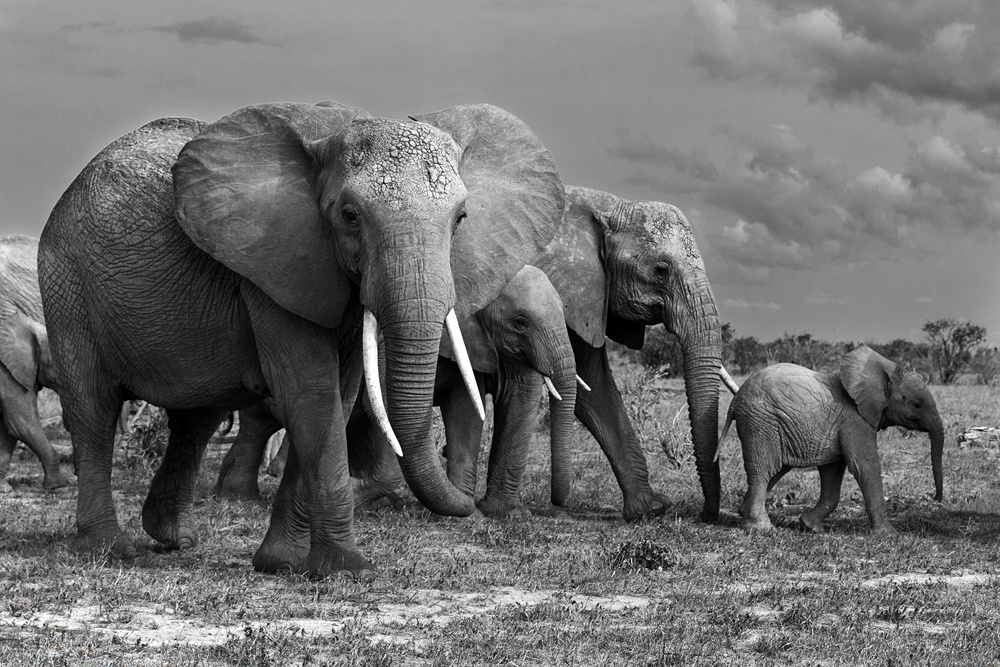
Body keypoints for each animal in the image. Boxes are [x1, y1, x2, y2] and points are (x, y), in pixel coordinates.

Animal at [213, 264, 581, 518]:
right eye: (520, 323)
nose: (559, 503)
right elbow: (382, 409)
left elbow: (465, 412)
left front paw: (466, 513)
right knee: (262, 421)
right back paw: (239, 497)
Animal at [534, 187, 726, 522]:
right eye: (661, 271)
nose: (705, 515)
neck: (606, 206)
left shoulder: (586, 293)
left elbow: (592, 387)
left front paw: (651, 509)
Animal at [717, 344, 944, 534]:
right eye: (917, 405)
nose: (936, 498)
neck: (885, 370)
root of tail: (735, 401)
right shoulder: (855, 419)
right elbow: (865, 467)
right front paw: (889, 535)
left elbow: (832, 472)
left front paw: (810, 526)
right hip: (760, 422)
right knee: (763, 469)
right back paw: (762, 528)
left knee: (776, 469)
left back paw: (743, 512)